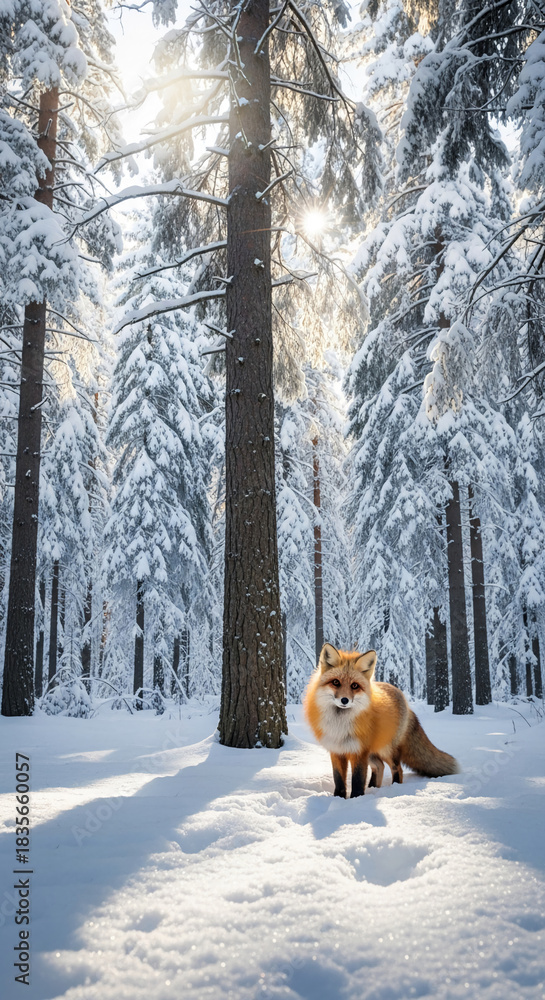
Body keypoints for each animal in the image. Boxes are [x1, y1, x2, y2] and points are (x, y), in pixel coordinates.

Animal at [304, 643, 459, 798]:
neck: (340, 723)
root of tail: (403, 698)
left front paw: (356, 799)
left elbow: (358, 779)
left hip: (386, 749)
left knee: (397, 768)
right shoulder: (337, 751)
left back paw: (394, 787)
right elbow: (339, 780)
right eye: (336, 682)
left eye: (354, 686)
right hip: (372, 752)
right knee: (379, 766)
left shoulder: (359, 751)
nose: (344, 700)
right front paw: (338, 799)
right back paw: (373, 787)